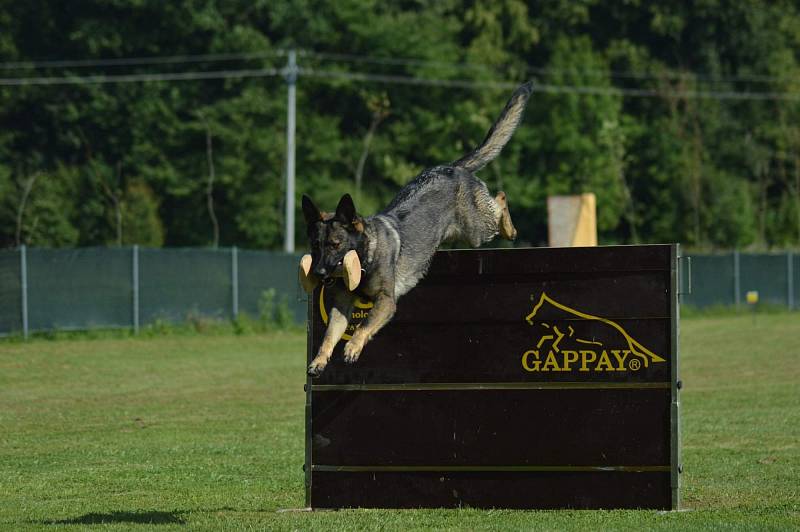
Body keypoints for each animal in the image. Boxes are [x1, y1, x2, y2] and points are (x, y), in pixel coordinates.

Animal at [304, 81, 536, 376]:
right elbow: (329, 335)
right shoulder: (342, 306)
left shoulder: (386, 301)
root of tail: (452, 167)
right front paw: (319, 360)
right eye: (315, 246)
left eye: (335, 244)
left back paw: (510, 226)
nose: (319, 273)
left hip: (476, 230)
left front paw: (353, 347)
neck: (366, 254)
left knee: (500, 200)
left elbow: (364, 325)